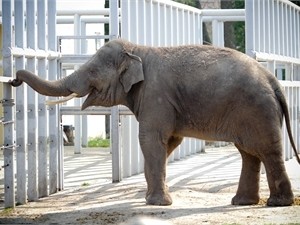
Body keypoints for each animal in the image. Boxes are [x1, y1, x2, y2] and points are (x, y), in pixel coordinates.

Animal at [10, 38, 298, 206]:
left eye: (92, 71)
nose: (13, 80)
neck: (137, 51)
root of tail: (273, 81)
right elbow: (168, 142)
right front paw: (151, 198)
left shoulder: (155, 95)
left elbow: (151, 139)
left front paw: (156, 203)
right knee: (249, 153)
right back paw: (242, 202)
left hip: (256, 110)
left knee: (266, 151)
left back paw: (277, 203)